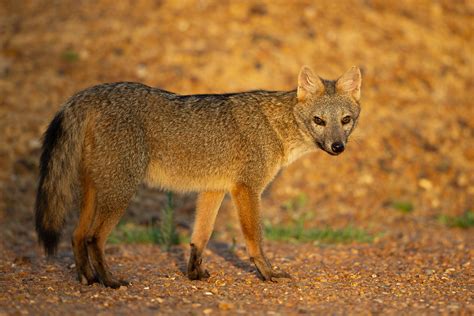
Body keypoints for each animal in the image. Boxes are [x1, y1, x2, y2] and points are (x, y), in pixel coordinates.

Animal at [35, 65, 362, 288]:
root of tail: (90, 92)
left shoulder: (213, 189)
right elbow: (255, 238)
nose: (338, 147)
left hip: (97, 189)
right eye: (319, 121)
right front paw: (267, 272)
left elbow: (200, 237)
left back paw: (87, 279)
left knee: (76, 235)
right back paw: (109, 281)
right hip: (120, 191)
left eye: (345, 120)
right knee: (94, 237)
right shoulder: (247, 189)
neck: (275, 126)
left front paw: (194, 273)